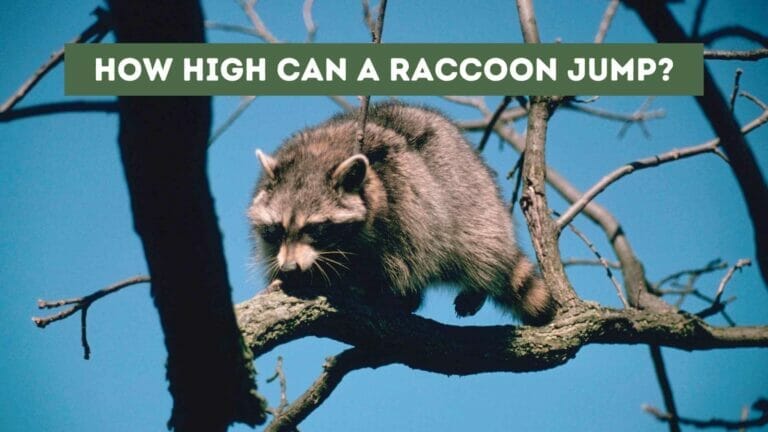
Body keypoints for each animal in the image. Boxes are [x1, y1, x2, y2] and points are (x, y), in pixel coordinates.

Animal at [248, 102, 555, 325]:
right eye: (277, 228)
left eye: (315, 228)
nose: (290, 267)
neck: (319, 154)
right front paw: (289, 275)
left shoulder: (405, 207)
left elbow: (406, 262)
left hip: (471, 196)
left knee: (476, 244)